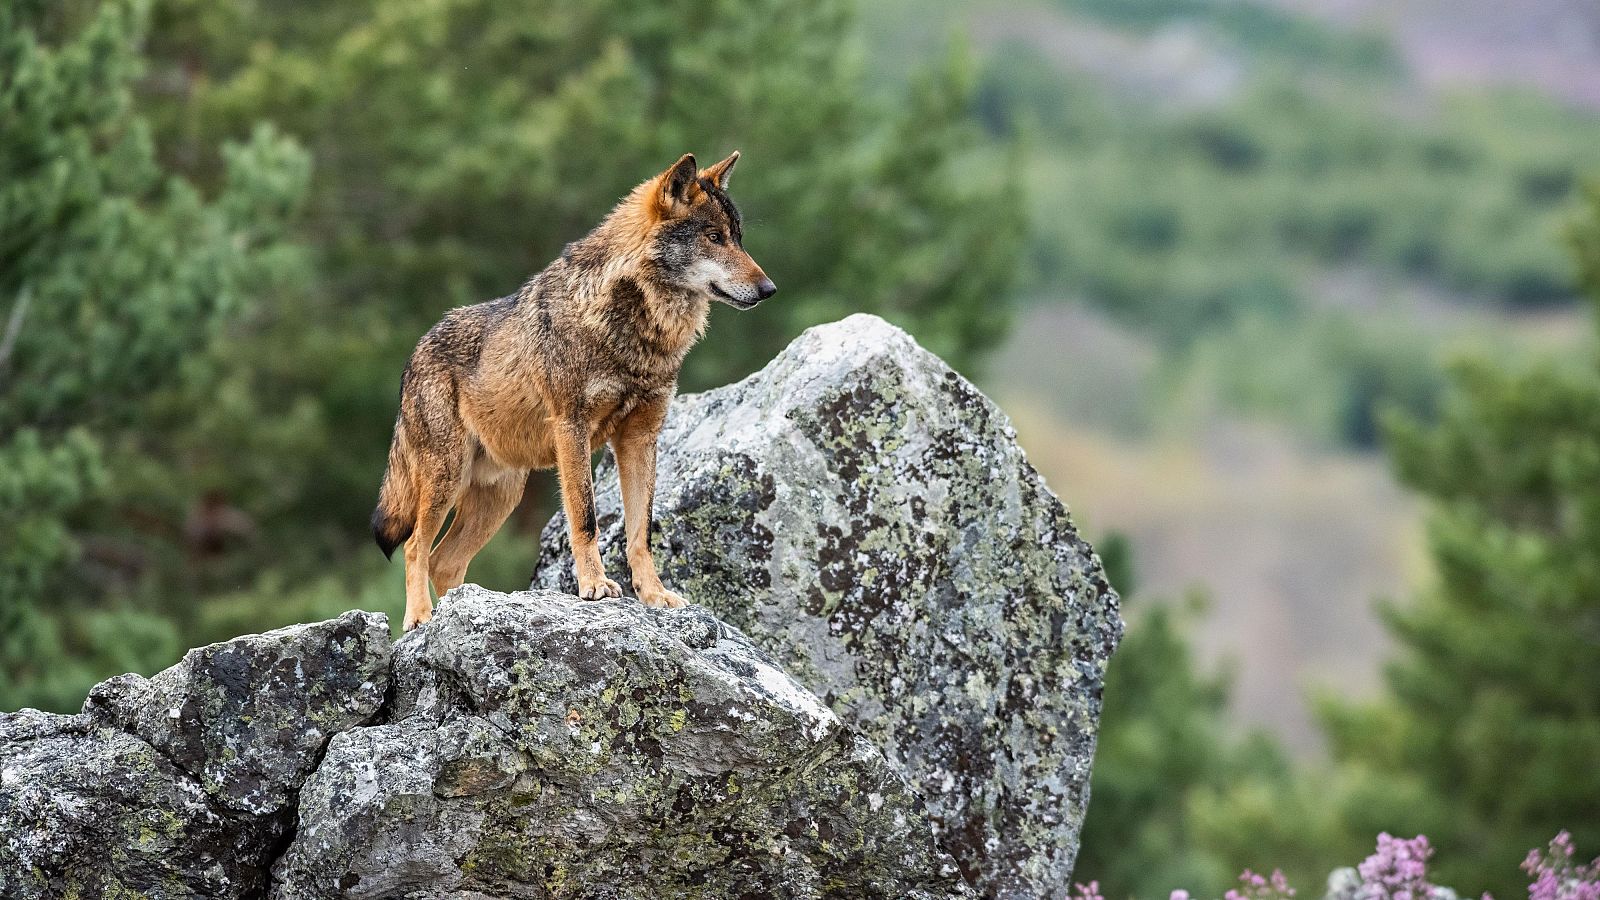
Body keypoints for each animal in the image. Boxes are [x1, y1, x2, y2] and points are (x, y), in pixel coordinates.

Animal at [374, 150, 774, 627]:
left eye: (738, 238)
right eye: (714, 237)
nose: (769, 288)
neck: (636, 330)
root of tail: (413, 354)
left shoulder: (640, 439)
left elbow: (641, 532)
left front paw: (654, 595)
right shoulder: (572, 428)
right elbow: (586, 518)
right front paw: (595, 587)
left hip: (501, 496)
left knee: (444, 561)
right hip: (446, 479)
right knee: (416, 546)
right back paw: (420, 618)